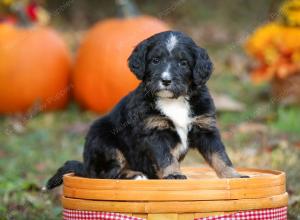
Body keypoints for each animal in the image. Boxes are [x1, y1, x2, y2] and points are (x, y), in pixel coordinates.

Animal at [45, 30, 245, 190]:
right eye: (155, 60)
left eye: (183, 63)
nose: (166, 80)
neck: (174, 101)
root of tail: (86, 166)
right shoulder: (154, 132)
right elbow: (166, 157)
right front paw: (173, 175)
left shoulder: (205, 128)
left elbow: (220, 156)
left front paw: (234, 176)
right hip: (103, 139)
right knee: (108, 174)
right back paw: (135, 175)